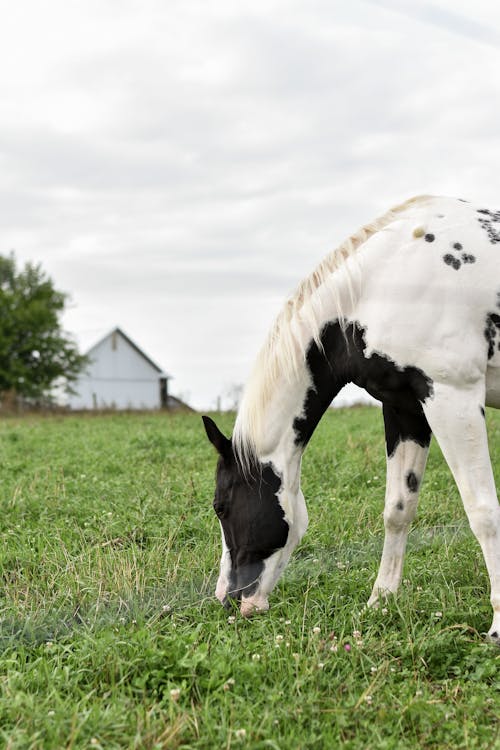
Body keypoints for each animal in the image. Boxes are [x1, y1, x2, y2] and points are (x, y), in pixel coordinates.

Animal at [203, 197, 500, 644]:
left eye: (220, 507)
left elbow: (483, 513)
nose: (228, 599)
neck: (383, 284)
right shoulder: (405, 408)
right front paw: (381, 602)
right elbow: (398, 510)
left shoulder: (453, 396)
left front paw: (498, 627)